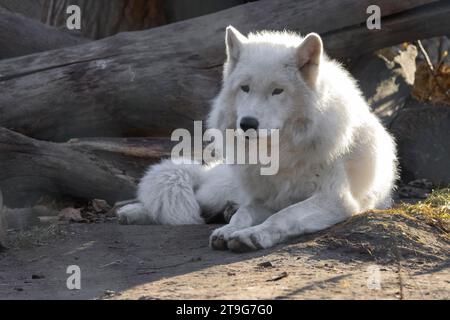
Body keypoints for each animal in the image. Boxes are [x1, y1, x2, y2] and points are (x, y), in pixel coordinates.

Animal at [118, 26, 398, 252]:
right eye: (245, 88)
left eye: (277, 91)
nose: (247, 124)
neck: (279, 154)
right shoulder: (264, 200)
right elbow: (243, 215)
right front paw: (230, 230)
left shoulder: (335, 200)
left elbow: (284, 215)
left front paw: (252, 235)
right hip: (219, 190)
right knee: (191, 198)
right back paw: (131, 212)